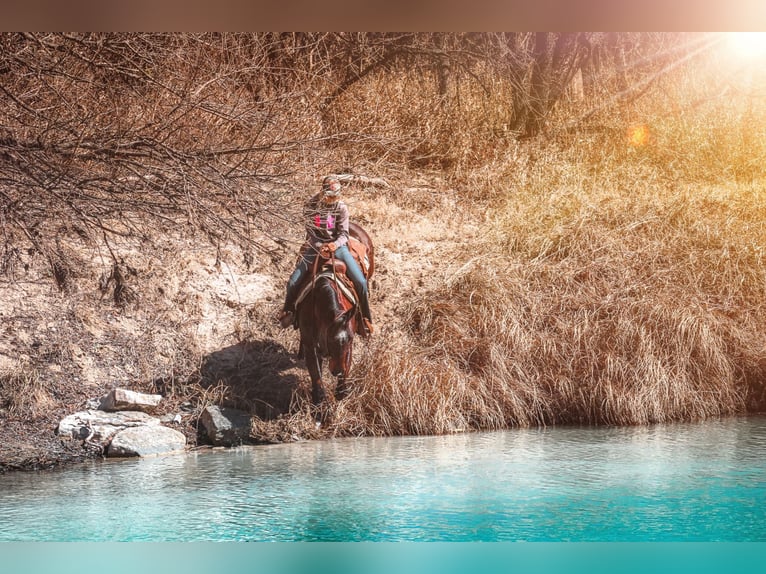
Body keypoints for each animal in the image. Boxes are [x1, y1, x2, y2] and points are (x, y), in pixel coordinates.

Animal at [296, 223, 376, 412]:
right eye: (329, 340)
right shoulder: (311, 344)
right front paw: (319, 401)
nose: (337, 371)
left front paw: (341, 391)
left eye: (350, 339)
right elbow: (316, 375)